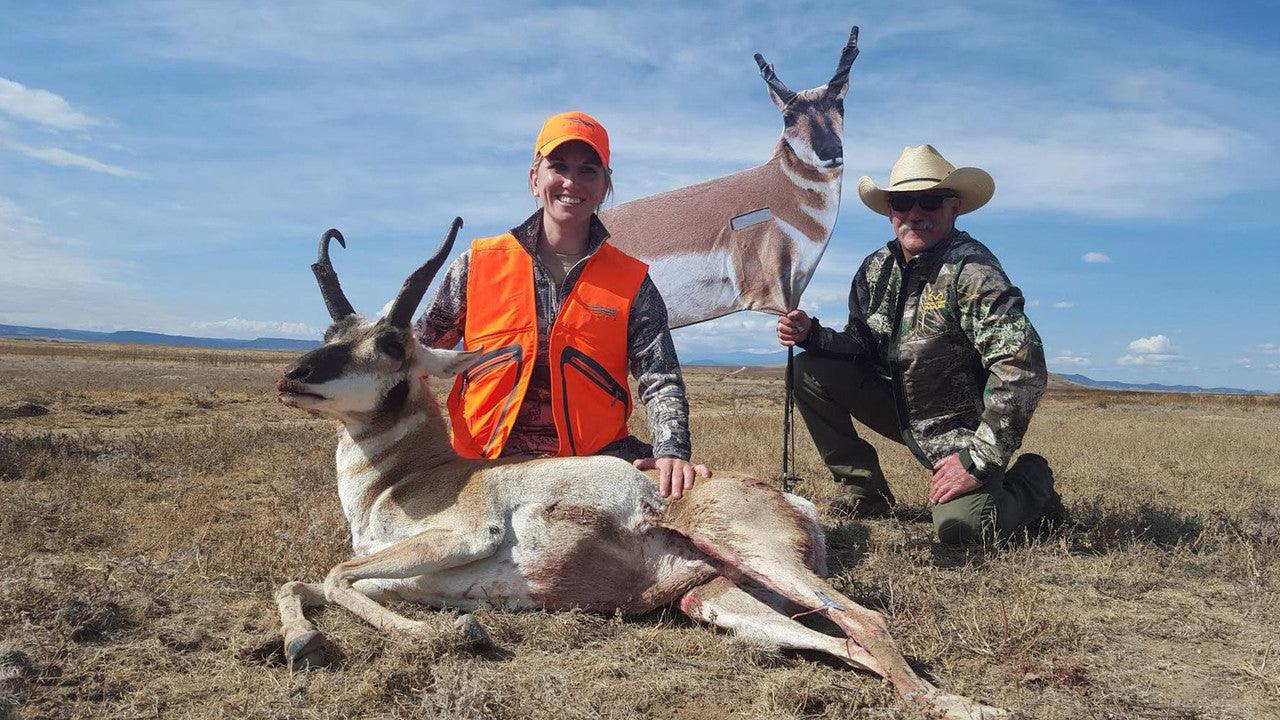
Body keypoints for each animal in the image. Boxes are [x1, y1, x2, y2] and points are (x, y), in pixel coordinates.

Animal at [271, 219, 1010, 720]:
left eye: (390, 344)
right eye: (331, 336)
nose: (291, 376)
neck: (413, 479)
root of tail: (785, 500)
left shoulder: (460, 537)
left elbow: (336, 575)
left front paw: (458, 634)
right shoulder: (403, 573)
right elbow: (306, 581)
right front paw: (304, 642)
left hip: (758, 558)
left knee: (869, 621)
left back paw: (957, 705)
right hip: (720, 600)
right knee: (844, 642)